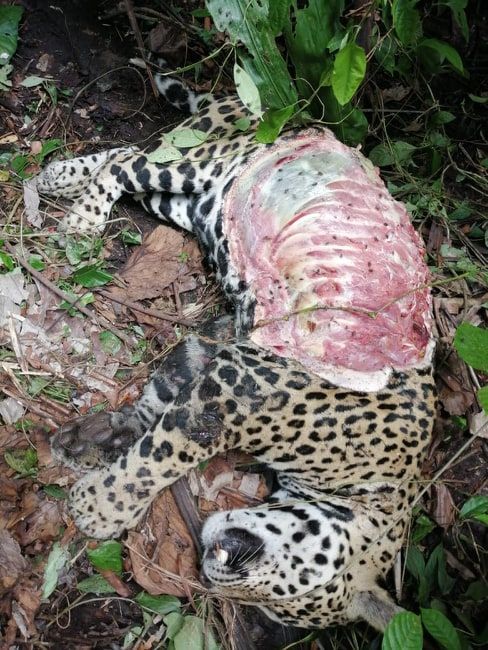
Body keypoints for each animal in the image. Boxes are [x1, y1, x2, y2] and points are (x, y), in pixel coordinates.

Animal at [36, 71, 437, 632]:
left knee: (131, 151)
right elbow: (163, 455)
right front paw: (102, 507)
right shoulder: (233, 393)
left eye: (277, 608)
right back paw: (81, 218)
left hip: (194, 198)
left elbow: (160, 402)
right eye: (291, 595)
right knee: (128, 162)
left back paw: (59, 177)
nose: (208, 565)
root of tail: (270, 109)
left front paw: (99, 439)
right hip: (201, 164)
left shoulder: (219, 351)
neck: (370, 480)